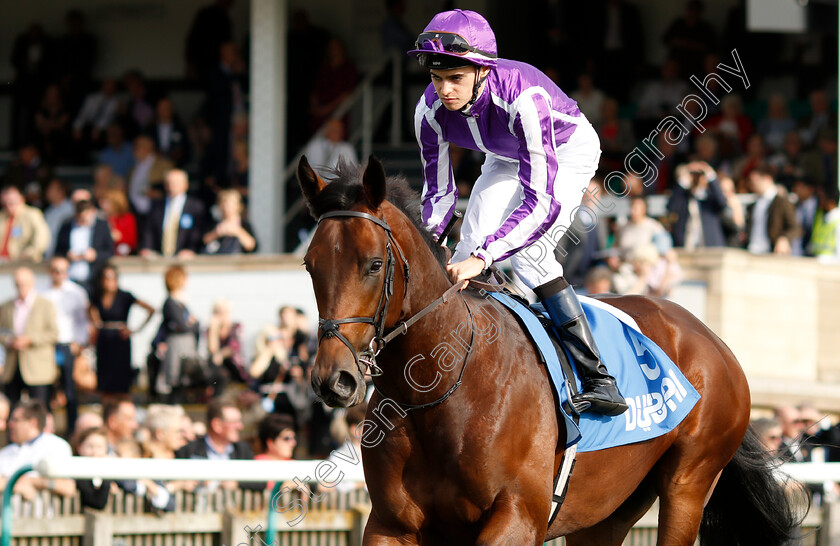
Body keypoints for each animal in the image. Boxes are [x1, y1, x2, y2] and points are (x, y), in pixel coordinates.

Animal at [298, 155, 804, 540]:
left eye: (373, 263)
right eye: (309, 264)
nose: (333, 379)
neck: (439, 391)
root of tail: (711, 338)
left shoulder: (517, 518)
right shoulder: (391, 525)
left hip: (689, 484)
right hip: (607, 510)